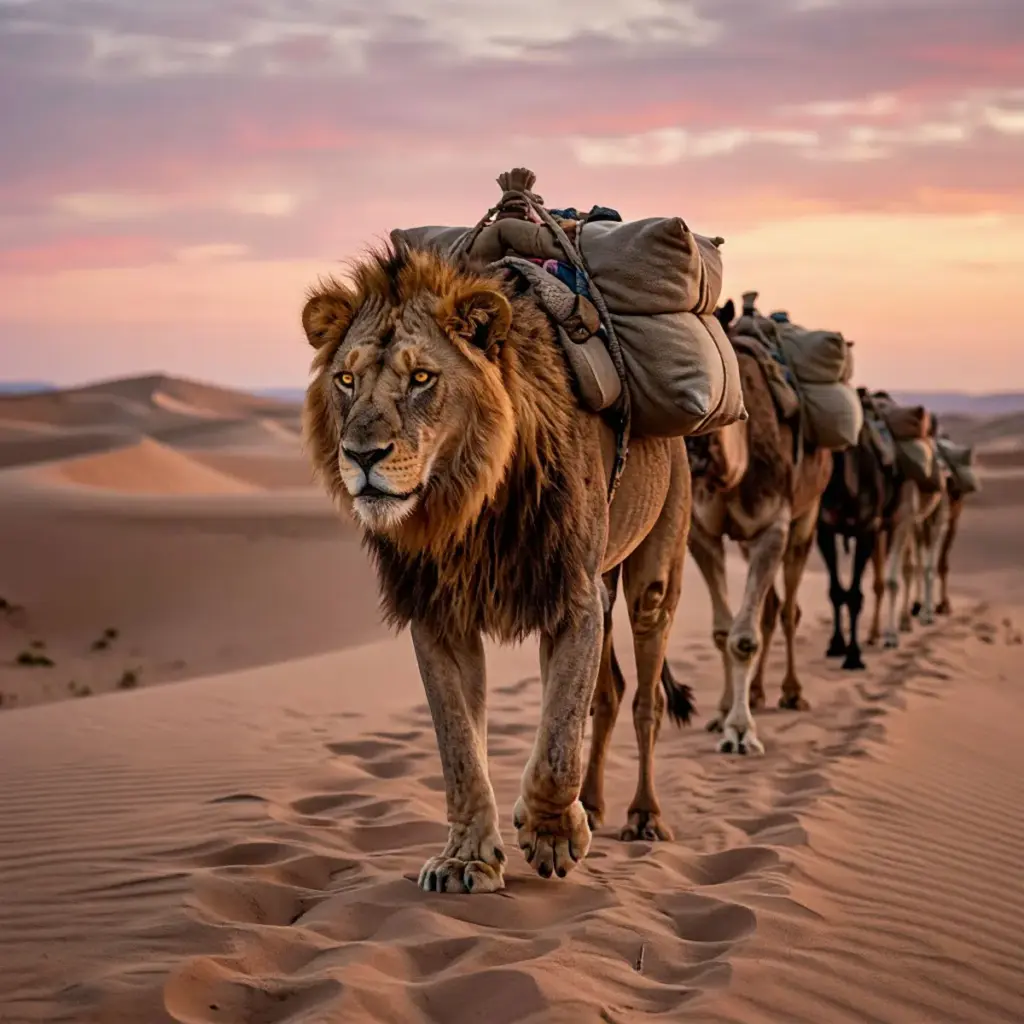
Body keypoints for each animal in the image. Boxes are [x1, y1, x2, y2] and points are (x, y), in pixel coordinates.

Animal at [682, 299, 832, 755]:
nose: (693, 452)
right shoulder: (702, 533)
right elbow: (723, 632)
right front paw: (723, 715)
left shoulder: (773, 527)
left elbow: (744, 638)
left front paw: (741, 731)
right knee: (767, 610)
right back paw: (757, 693)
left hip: (806, 518)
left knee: (788, 609)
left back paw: (790, 693)